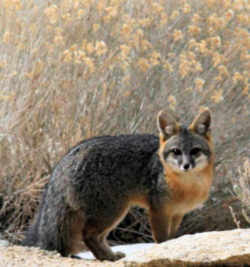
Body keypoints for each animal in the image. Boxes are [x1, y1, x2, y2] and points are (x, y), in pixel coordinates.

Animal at [23, 107, 214, 262]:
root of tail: (74, 152)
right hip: (113, 211)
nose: (186, 165)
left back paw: (108, 255)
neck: (187, 187)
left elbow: (173, 239)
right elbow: (162, 240)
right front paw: (164, 252)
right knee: (88, 235)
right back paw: (108, 257)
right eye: (176, 152)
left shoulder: (177, 214)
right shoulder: (158, 211)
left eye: (195, 151)